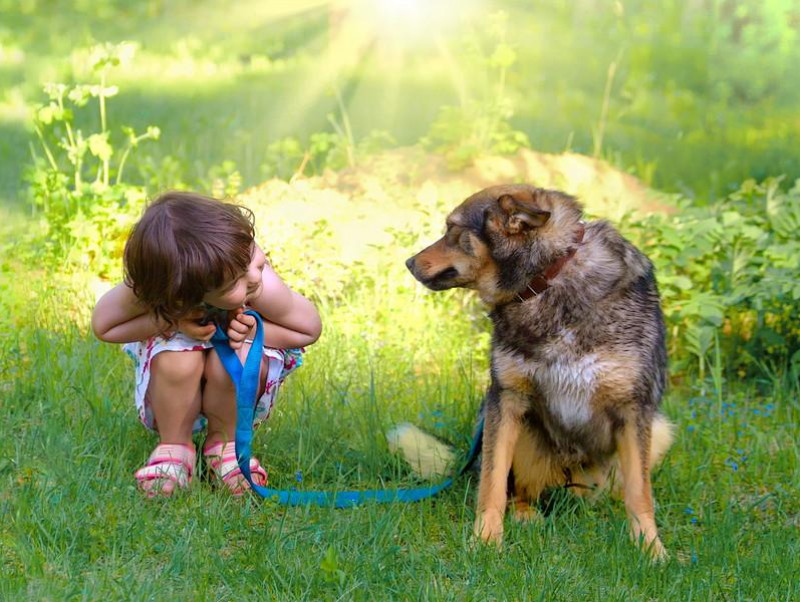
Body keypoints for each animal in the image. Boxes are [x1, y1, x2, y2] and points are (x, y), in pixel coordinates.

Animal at [406, 184, 676, 556]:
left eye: (452, 229)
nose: (409, 263)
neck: (548, 281)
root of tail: (572, 483)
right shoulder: (505, 399)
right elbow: (492, 484)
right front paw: (485, 540)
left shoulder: (633, 408)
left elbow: (639, 494)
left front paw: (650, 550)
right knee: (520, 492)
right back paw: (526, 516)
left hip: (659, 430)